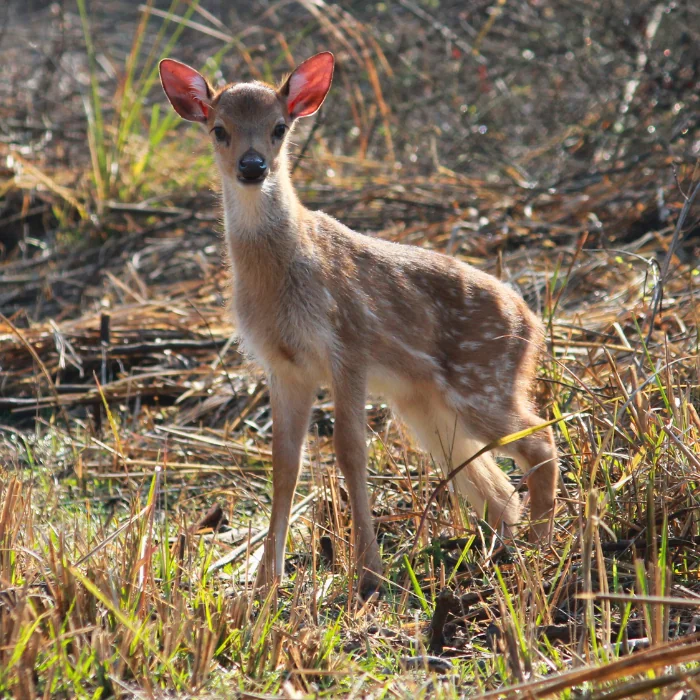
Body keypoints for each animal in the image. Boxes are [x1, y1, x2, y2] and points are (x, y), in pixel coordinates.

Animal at [159, 52, 559, 599]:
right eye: (219, 129)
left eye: (280, 127)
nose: (253, 165)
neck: (280, 277)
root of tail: (532, 324)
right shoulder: (283, 366)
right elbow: (285, 465)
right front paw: (265, 583)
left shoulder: (347, 345)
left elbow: (350, 453)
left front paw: (368, 573)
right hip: (424, 404)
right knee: (496, 487)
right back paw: (499, 559)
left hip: (482, 382)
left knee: (541, 443)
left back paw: (540, 550)